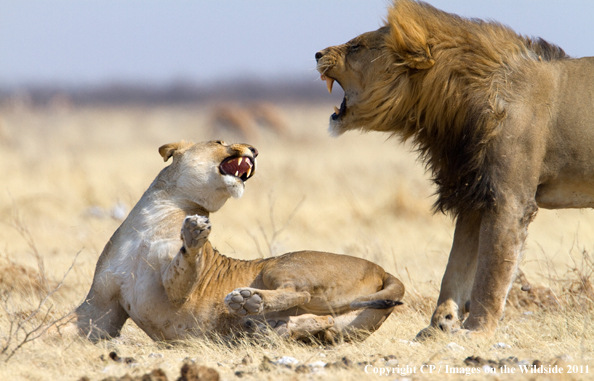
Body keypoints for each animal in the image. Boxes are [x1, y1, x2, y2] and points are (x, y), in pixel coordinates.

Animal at [71, 140, 400, 342]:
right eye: (218, 142)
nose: (254, 148)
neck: (156, 213)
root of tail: (381, 269)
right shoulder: (99, 309)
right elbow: (73, 326)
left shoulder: (175, 292)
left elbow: (185, 264)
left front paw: (195, 232)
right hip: (340, 329)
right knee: (324, 323)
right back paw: (267, 330)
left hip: (280, 266)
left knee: (301, 294)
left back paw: (249, 302)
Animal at [314, 0, 592, 336]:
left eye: (356, 46)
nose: (316, 54)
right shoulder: (472, 195)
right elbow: (456, 267)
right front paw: (439, 326)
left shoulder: (509, 199)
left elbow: (491, 272)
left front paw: (477, 330)